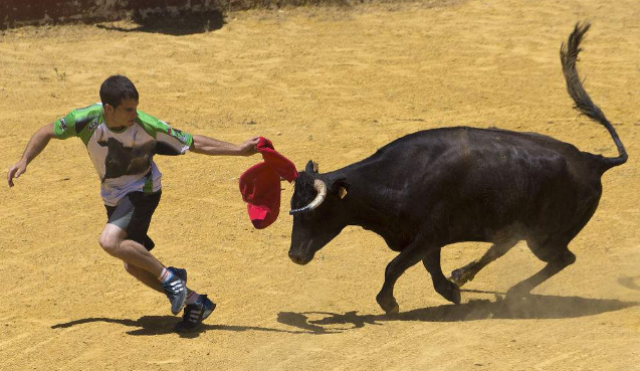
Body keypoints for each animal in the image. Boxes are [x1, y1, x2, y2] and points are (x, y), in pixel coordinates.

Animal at [288, 22, 628, 314]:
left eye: (315, 213)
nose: (295, 255)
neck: (397, 179)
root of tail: (594, 162)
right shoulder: (425, 236)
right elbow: (427, 266)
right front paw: (450, 290)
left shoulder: (428, 233)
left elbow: (396, 265)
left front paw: (389, 303)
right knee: (507, 247)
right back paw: (465, 276)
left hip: (545, 239)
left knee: (561, 258)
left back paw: (513, 292)